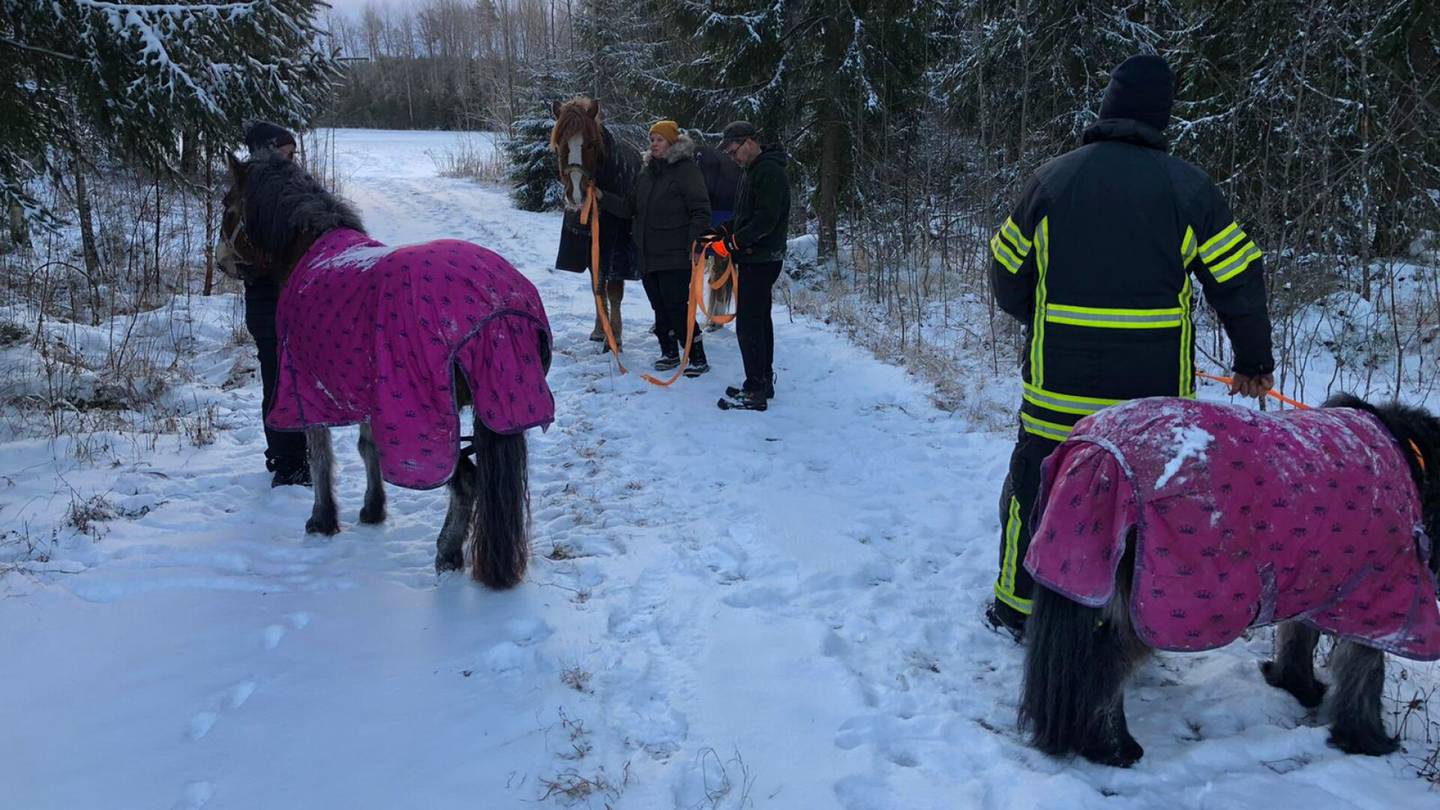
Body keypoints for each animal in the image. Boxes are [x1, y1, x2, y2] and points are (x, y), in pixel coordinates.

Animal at [1019, 394, 1440, 766]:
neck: (1410, 459)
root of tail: (1098, 452)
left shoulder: (1315, 577)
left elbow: (1298, 636)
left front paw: (1297, 687)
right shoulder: (1381, 596)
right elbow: (1365, 670)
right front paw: (1368, 739)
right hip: (1155, 608)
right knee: (1102, 667)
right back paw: (1113, 748)